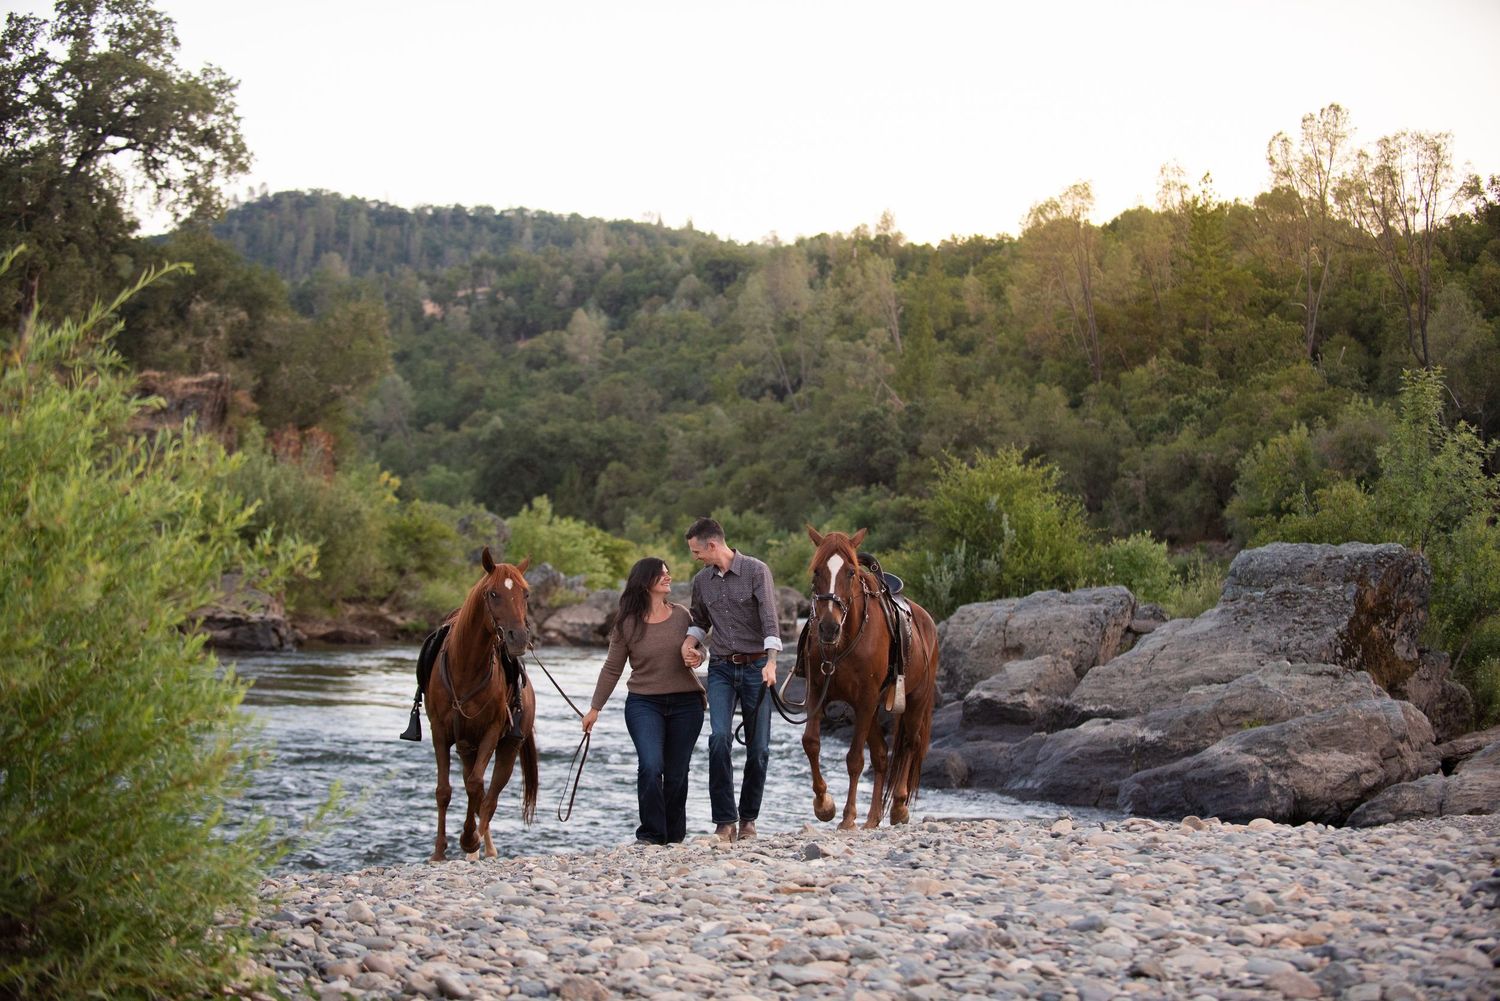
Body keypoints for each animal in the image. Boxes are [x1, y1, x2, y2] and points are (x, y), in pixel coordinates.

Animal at [424, 547, 539, 860]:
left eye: (526, 593)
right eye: (493, 593)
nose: (518, 638)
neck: (465, 666)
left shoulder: (491, 731)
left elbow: (478, 787)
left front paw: (468, 840)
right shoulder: (440, 732)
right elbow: (444, 790)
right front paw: (438, 852)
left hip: (508, 748)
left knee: (490, 796)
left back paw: (480, 846)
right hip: (467, 748)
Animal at [799, 526, 939, 829]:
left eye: (851, 572)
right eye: (816, 571)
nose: (828, 628)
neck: (846, 638)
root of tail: (927, 621)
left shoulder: (864, 700)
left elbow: (854, 759)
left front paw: (848, 817)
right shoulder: (817, 692)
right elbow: (811, 743)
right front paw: (824, 805)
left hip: (915, 700)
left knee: (909, 745)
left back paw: (899, 806)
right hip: (874, 710)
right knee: (882, 754)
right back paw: (873, 817)